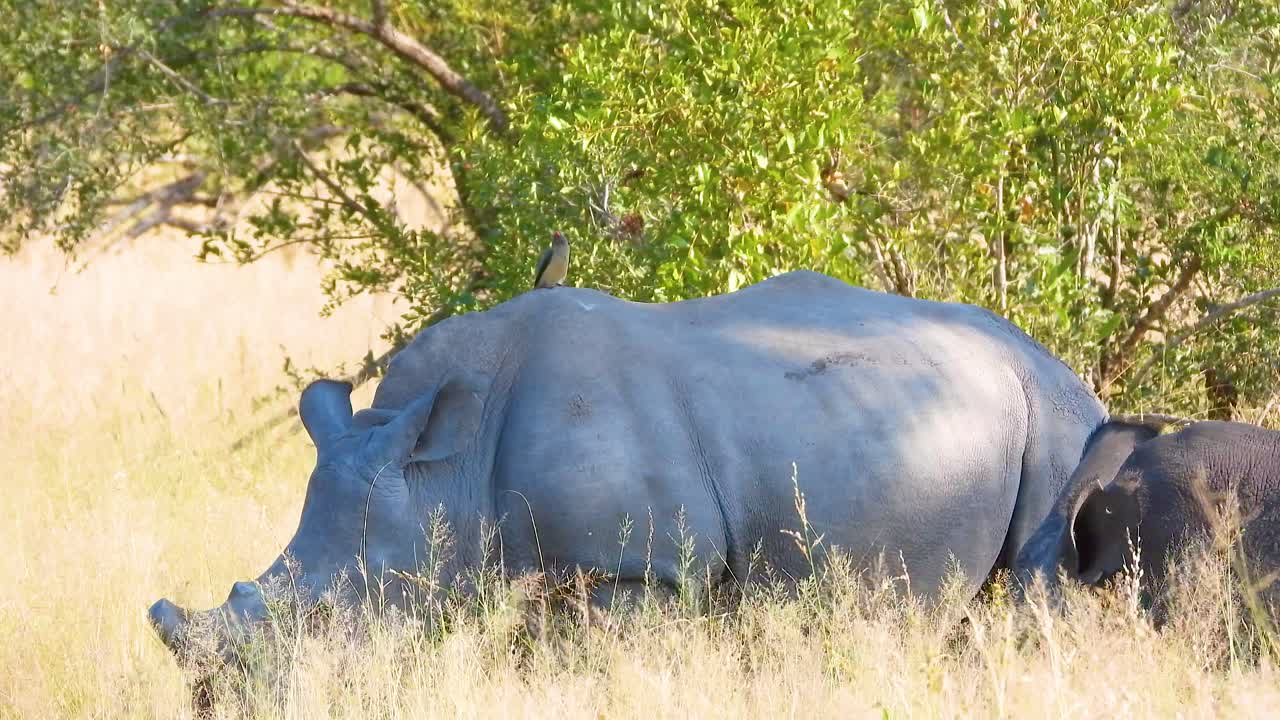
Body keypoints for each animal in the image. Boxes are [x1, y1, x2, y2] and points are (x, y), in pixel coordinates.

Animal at [149, 271, 1111, 661]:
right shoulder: (538, 565)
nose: (219, 702)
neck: (438, 472)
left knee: (1038, 591)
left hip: (1058, 428)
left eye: (328, 614)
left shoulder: (634, 570)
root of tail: (1067, 370)